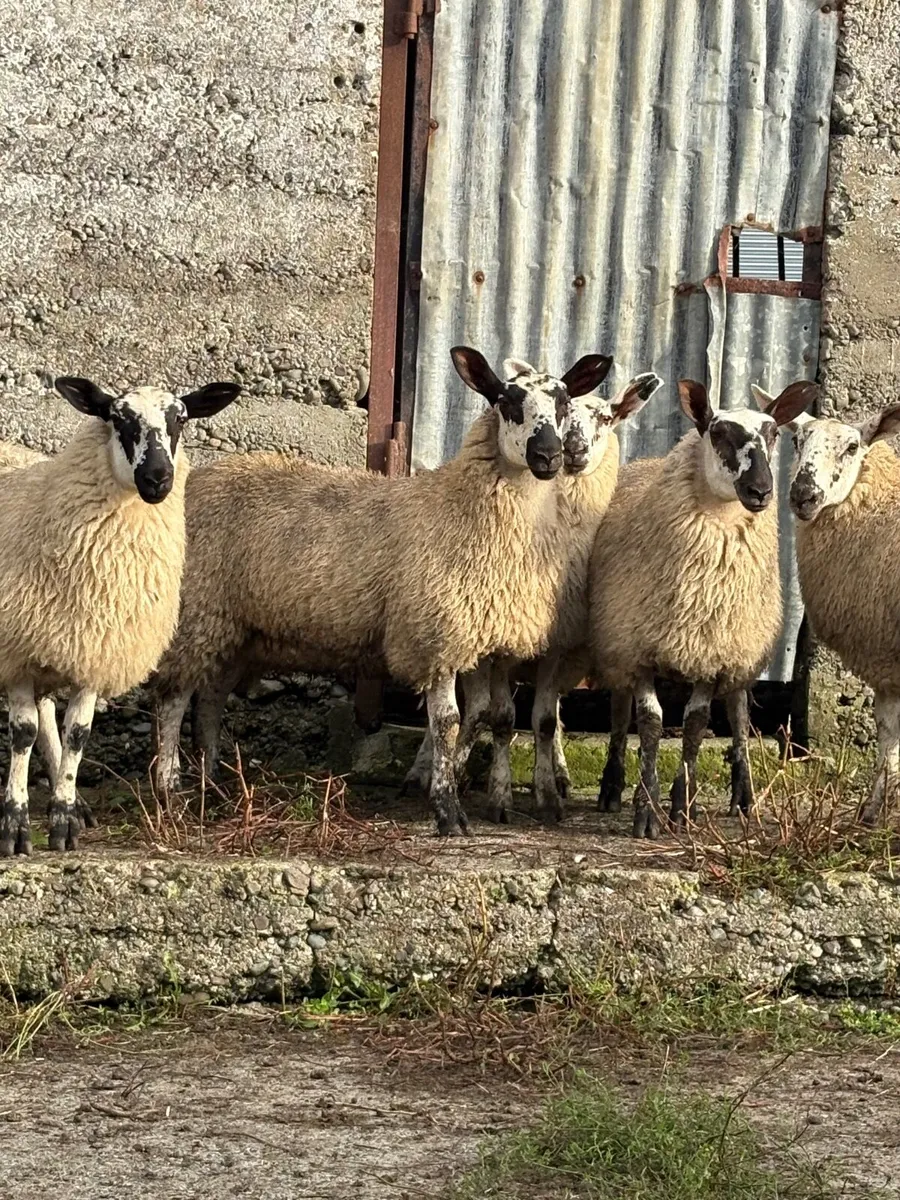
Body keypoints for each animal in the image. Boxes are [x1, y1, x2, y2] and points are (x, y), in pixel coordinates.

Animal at [0, 376, 240, 855]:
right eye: (117, 418)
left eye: (180, 419)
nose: (158, 478)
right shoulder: (16, 649)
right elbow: (22, 733)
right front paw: (15, 826)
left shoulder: (96, 645)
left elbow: (76, 733)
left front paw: (64, 819)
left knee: (48, 713)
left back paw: (76, 804)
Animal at [151, 346, 615, 837]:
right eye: (506, 402)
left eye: (564, 403)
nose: (549, 455)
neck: (463, 506)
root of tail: (201, 480)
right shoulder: (435, 632)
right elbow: (448, 723)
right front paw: (448, 811)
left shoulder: (478, 638)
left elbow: (482, 717)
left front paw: (450, 786)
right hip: (197, 611)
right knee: (173, 697)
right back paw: (170, 793)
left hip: (234, 626)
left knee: (211, 697)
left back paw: (211, 786)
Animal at [400, 369, 666, 823]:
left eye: (606, 417)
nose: (569, 449)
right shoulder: (497, 647)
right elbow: (496, 717)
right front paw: (493, 793)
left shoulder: (558, 645)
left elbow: (542, 720)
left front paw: (547, 792)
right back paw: (427, 770)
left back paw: (555, 772)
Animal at [590, 376, 817, 838]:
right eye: (717, 432)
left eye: (773, 434)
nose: (761, 491)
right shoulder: (639, 647)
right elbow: (650, 723)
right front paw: (647, 810)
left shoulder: (714, 651)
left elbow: (696, 725)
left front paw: (682, 807)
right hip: (617, 641)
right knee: (619, 715)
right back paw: (611, 788)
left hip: (741, 653)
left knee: (739, 718)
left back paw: (744, 797)